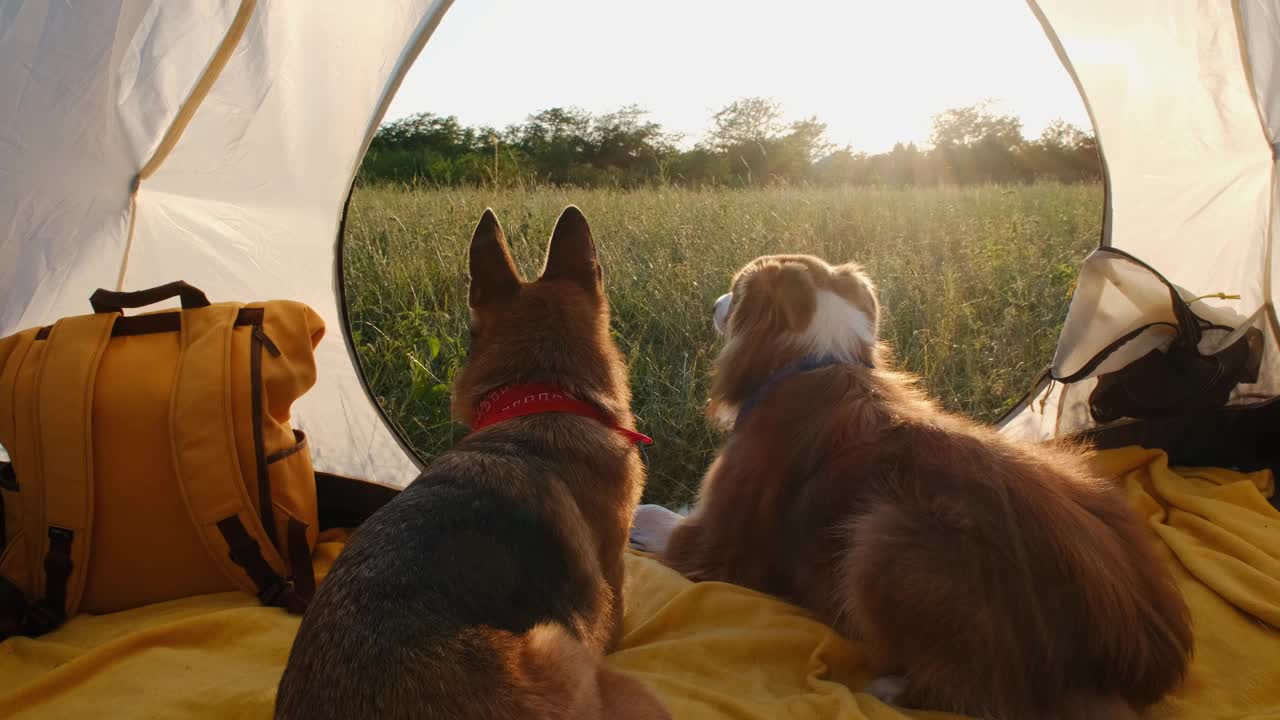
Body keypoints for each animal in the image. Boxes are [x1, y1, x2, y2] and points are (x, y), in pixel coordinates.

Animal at [660, 252, 1187, 717]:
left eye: (737, 289)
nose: (714, 302)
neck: (817, 357)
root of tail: (1131, 657)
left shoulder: (712, 543)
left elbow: (658, 519)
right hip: (1077, 470)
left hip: (885, 538)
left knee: (978, 695)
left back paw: (891, 688)